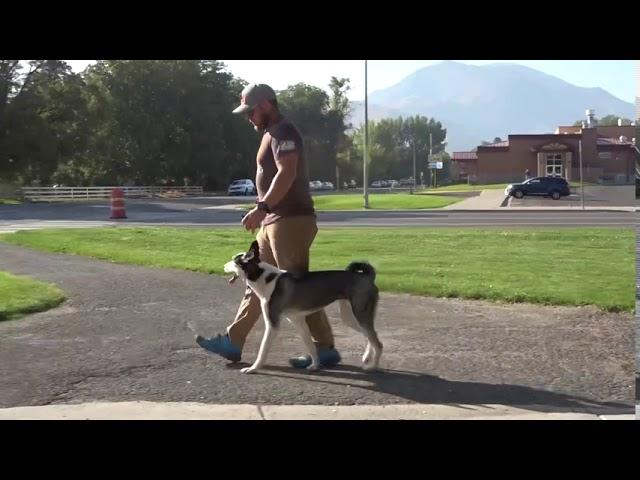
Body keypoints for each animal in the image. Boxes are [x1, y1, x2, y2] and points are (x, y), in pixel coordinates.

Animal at [225, 242, 382, 374]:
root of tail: (368, 277)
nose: (223, 265)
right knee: (369, 335)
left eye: (234, 260)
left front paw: (253, 368)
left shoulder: (272, 324)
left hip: (360, 314)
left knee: (377, 342)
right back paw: (367, 357)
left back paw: (373, 367)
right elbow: (311, 346)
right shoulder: (298, 321)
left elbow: (263, 349)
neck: (265, 278)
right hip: (350, 317)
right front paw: (315, 365)